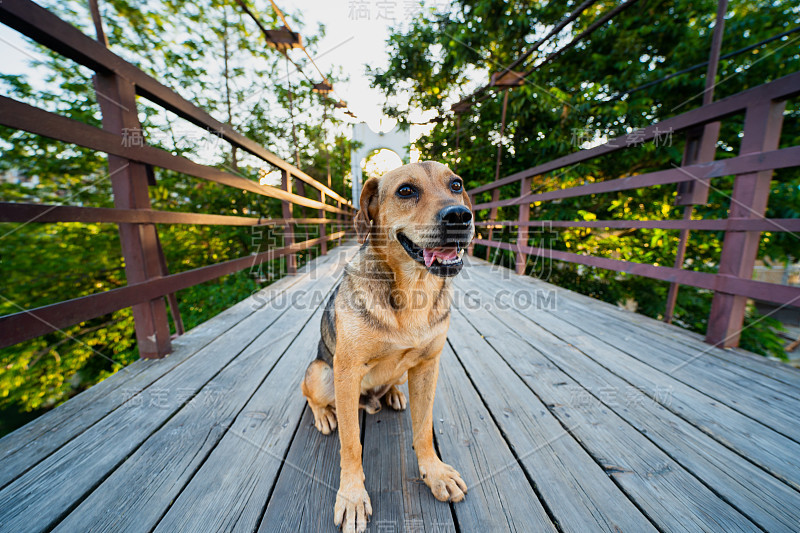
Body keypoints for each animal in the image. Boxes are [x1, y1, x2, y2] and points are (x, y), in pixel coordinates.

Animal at [304, 160, 472, 528]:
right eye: (406, 191)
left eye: (456, 185)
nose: (459, 216)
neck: (414, 289)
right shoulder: (347, 370)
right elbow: (351, 444)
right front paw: (352, 496)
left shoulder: (427, 365)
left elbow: (423, 430)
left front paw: (434, 472)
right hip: (321, 373)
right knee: (310, 396)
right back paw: (324, 415)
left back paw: (393, 393)